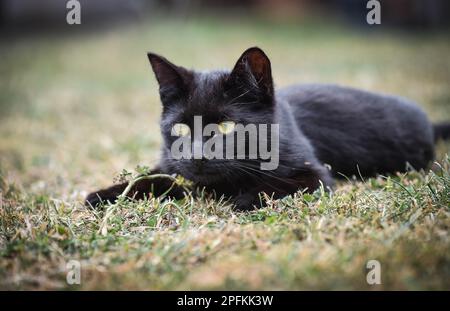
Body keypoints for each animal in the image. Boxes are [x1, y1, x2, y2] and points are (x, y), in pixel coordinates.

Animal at [85, 46, 450, 211]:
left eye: (227, 127)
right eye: (181, 131)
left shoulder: (316, 175)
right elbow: (152, 178)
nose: (198, 156)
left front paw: (238, 198)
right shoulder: (172, 166)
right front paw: (106, 194)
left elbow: (271, 186)